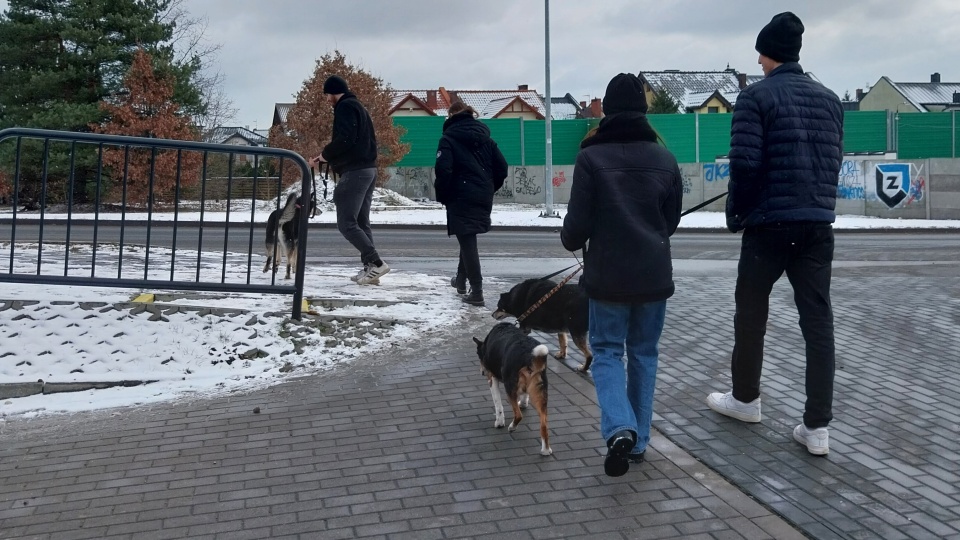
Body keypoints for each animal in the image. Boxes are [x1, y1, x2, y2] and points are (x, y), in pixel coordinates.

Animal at [474, 320, 556, 456]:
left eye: (479, 356)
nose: (482, 372)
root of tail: (528, 355)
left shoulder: (492, 378)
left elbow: (498, 405)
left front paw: (499, 422)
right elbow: (524, 395)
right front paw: (523, 403)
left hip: (509, 386)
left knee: (518, 415)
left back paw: (512, 427)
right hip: (541, 391)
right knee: (544, 425)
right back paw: (545, 450)